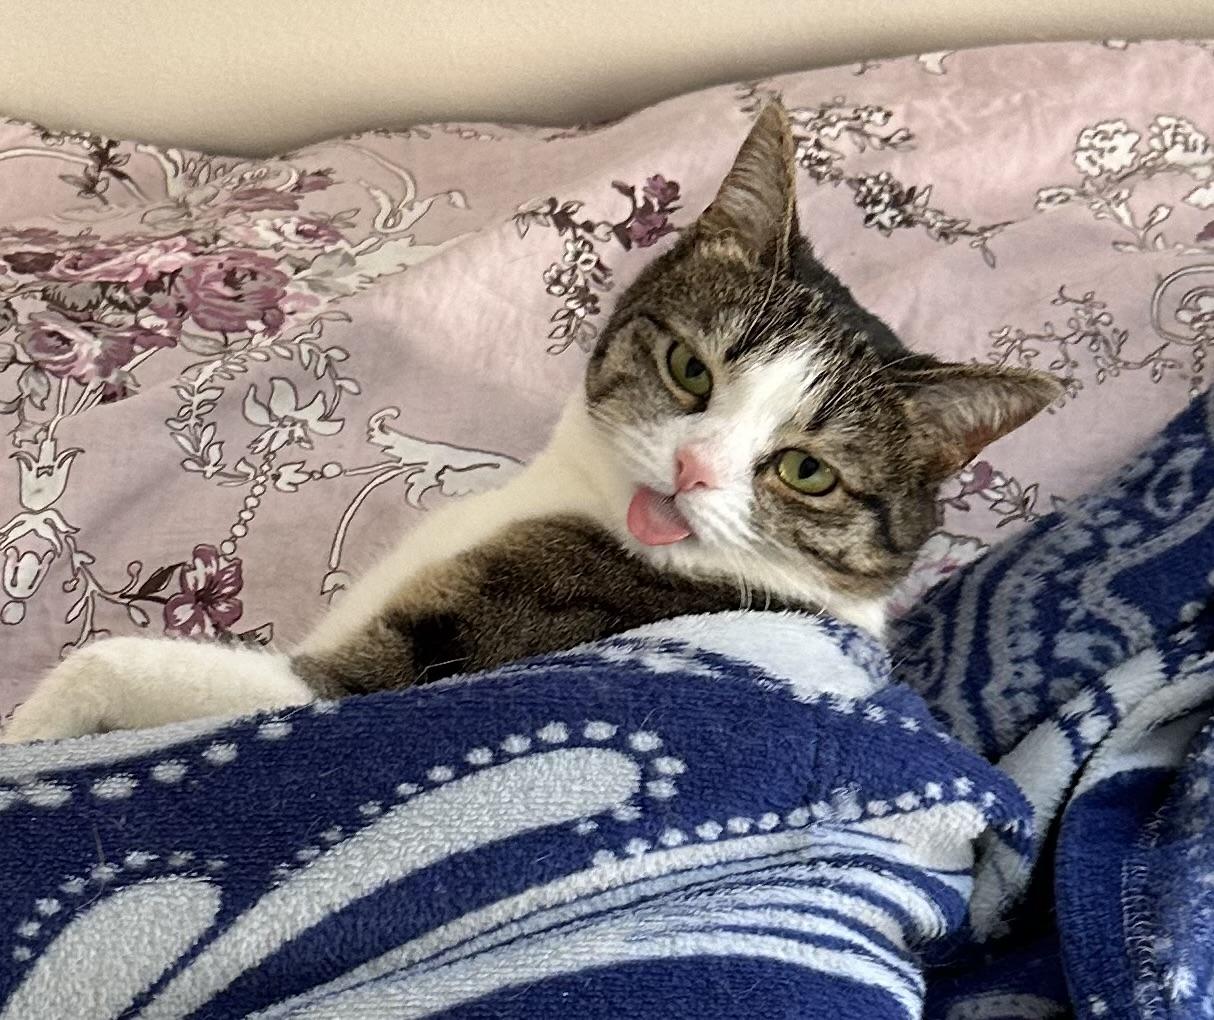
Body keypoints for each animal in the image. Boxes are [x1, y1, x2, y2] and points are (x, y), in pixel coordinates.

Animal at [0, 101, 1058, 743]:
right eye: (690, 371)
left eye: (807, 472)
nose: (695, 471)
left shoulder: (393, 678)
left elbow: (111, 663)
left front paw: (32, 739)